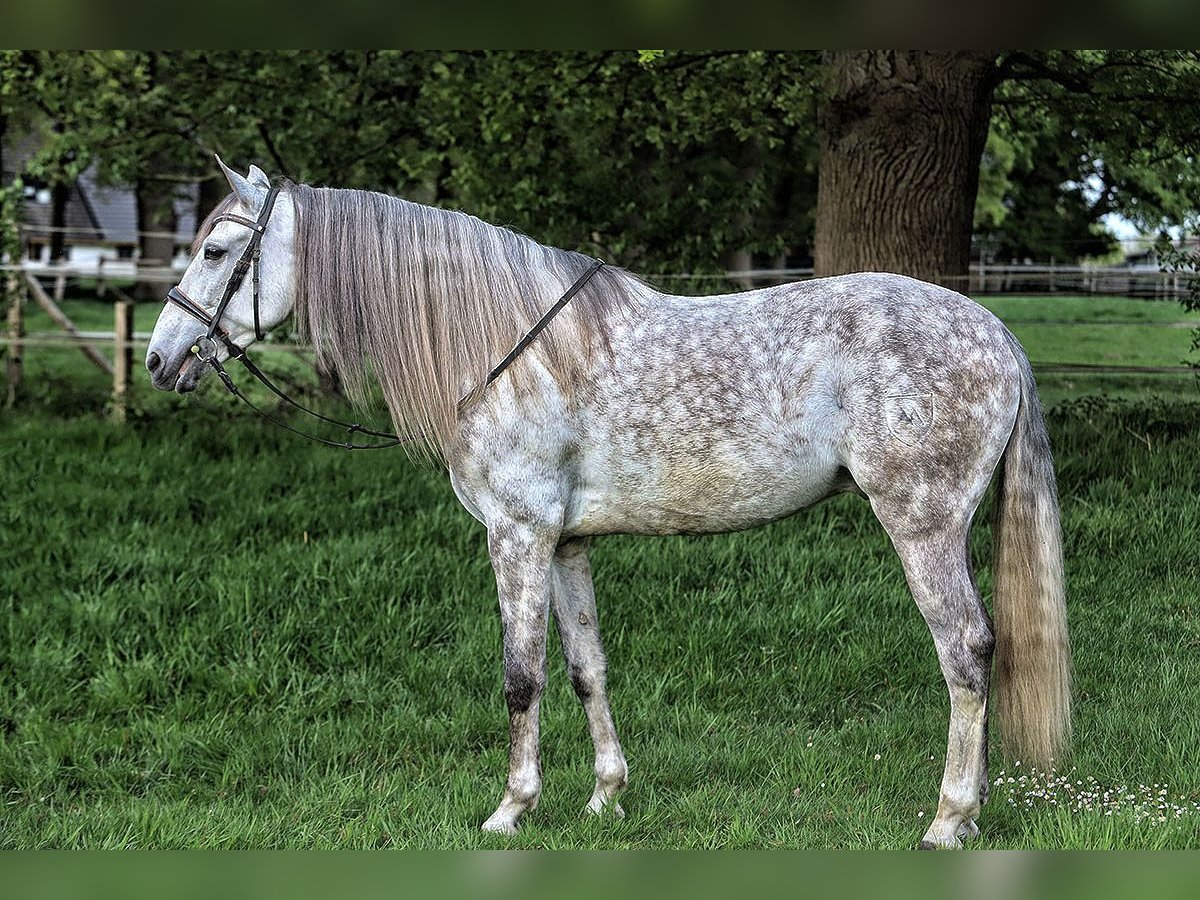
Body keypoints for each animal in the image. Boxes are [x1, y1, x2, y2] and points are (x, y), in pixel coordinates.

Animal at [146, 160, 1070, 849]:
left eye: (219, 250)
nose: (162, 359)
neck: (509, 347)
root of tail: (996, 333)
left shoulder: (517, 535)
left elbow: (521, 677)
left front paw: (512, 809)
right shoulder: (565, 543)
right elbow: (586, 668)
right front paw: (605, 799)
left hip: (922, 524)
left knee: (966, 653)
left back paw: (948, 821)